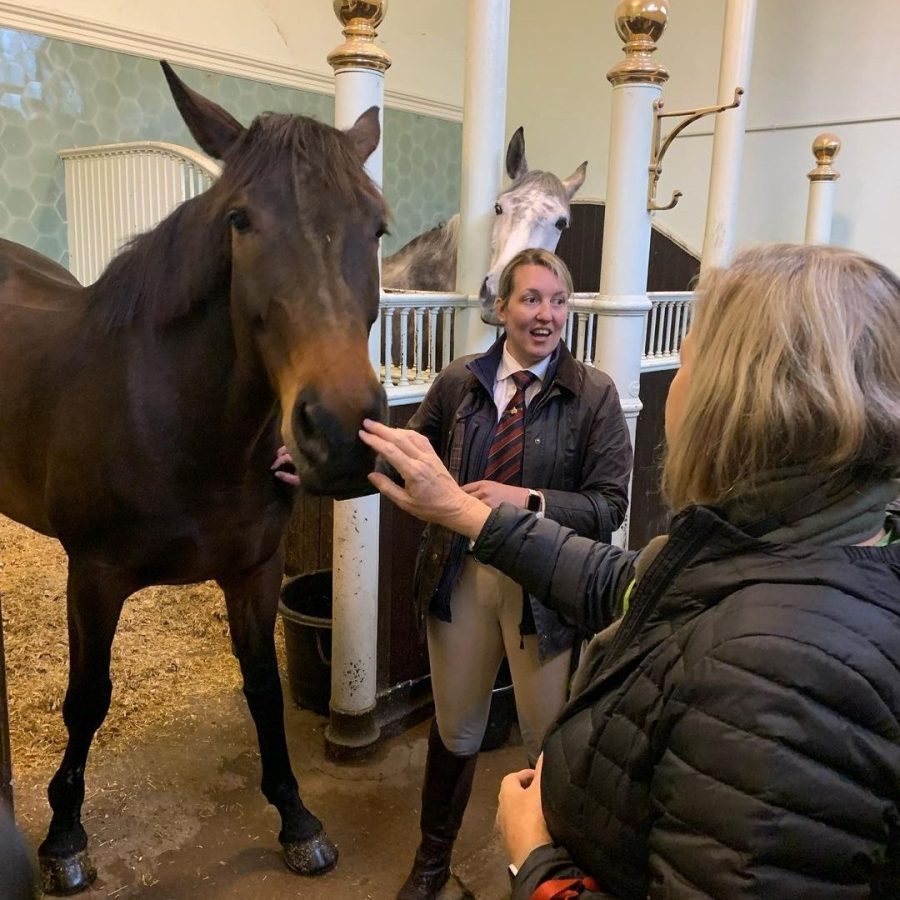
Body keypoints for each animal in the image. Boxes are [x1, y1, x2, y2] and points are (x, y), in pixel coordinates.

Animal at [0, 61, 384, 892]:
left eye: (377, 226)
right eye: (240, 219)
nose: (341, 435)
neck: (183, 426)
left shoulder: (255, 571)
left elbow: (264, 689)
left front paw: (297, 820)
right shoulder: (93, 577)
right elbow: (87, 701)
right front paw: (64, 840)